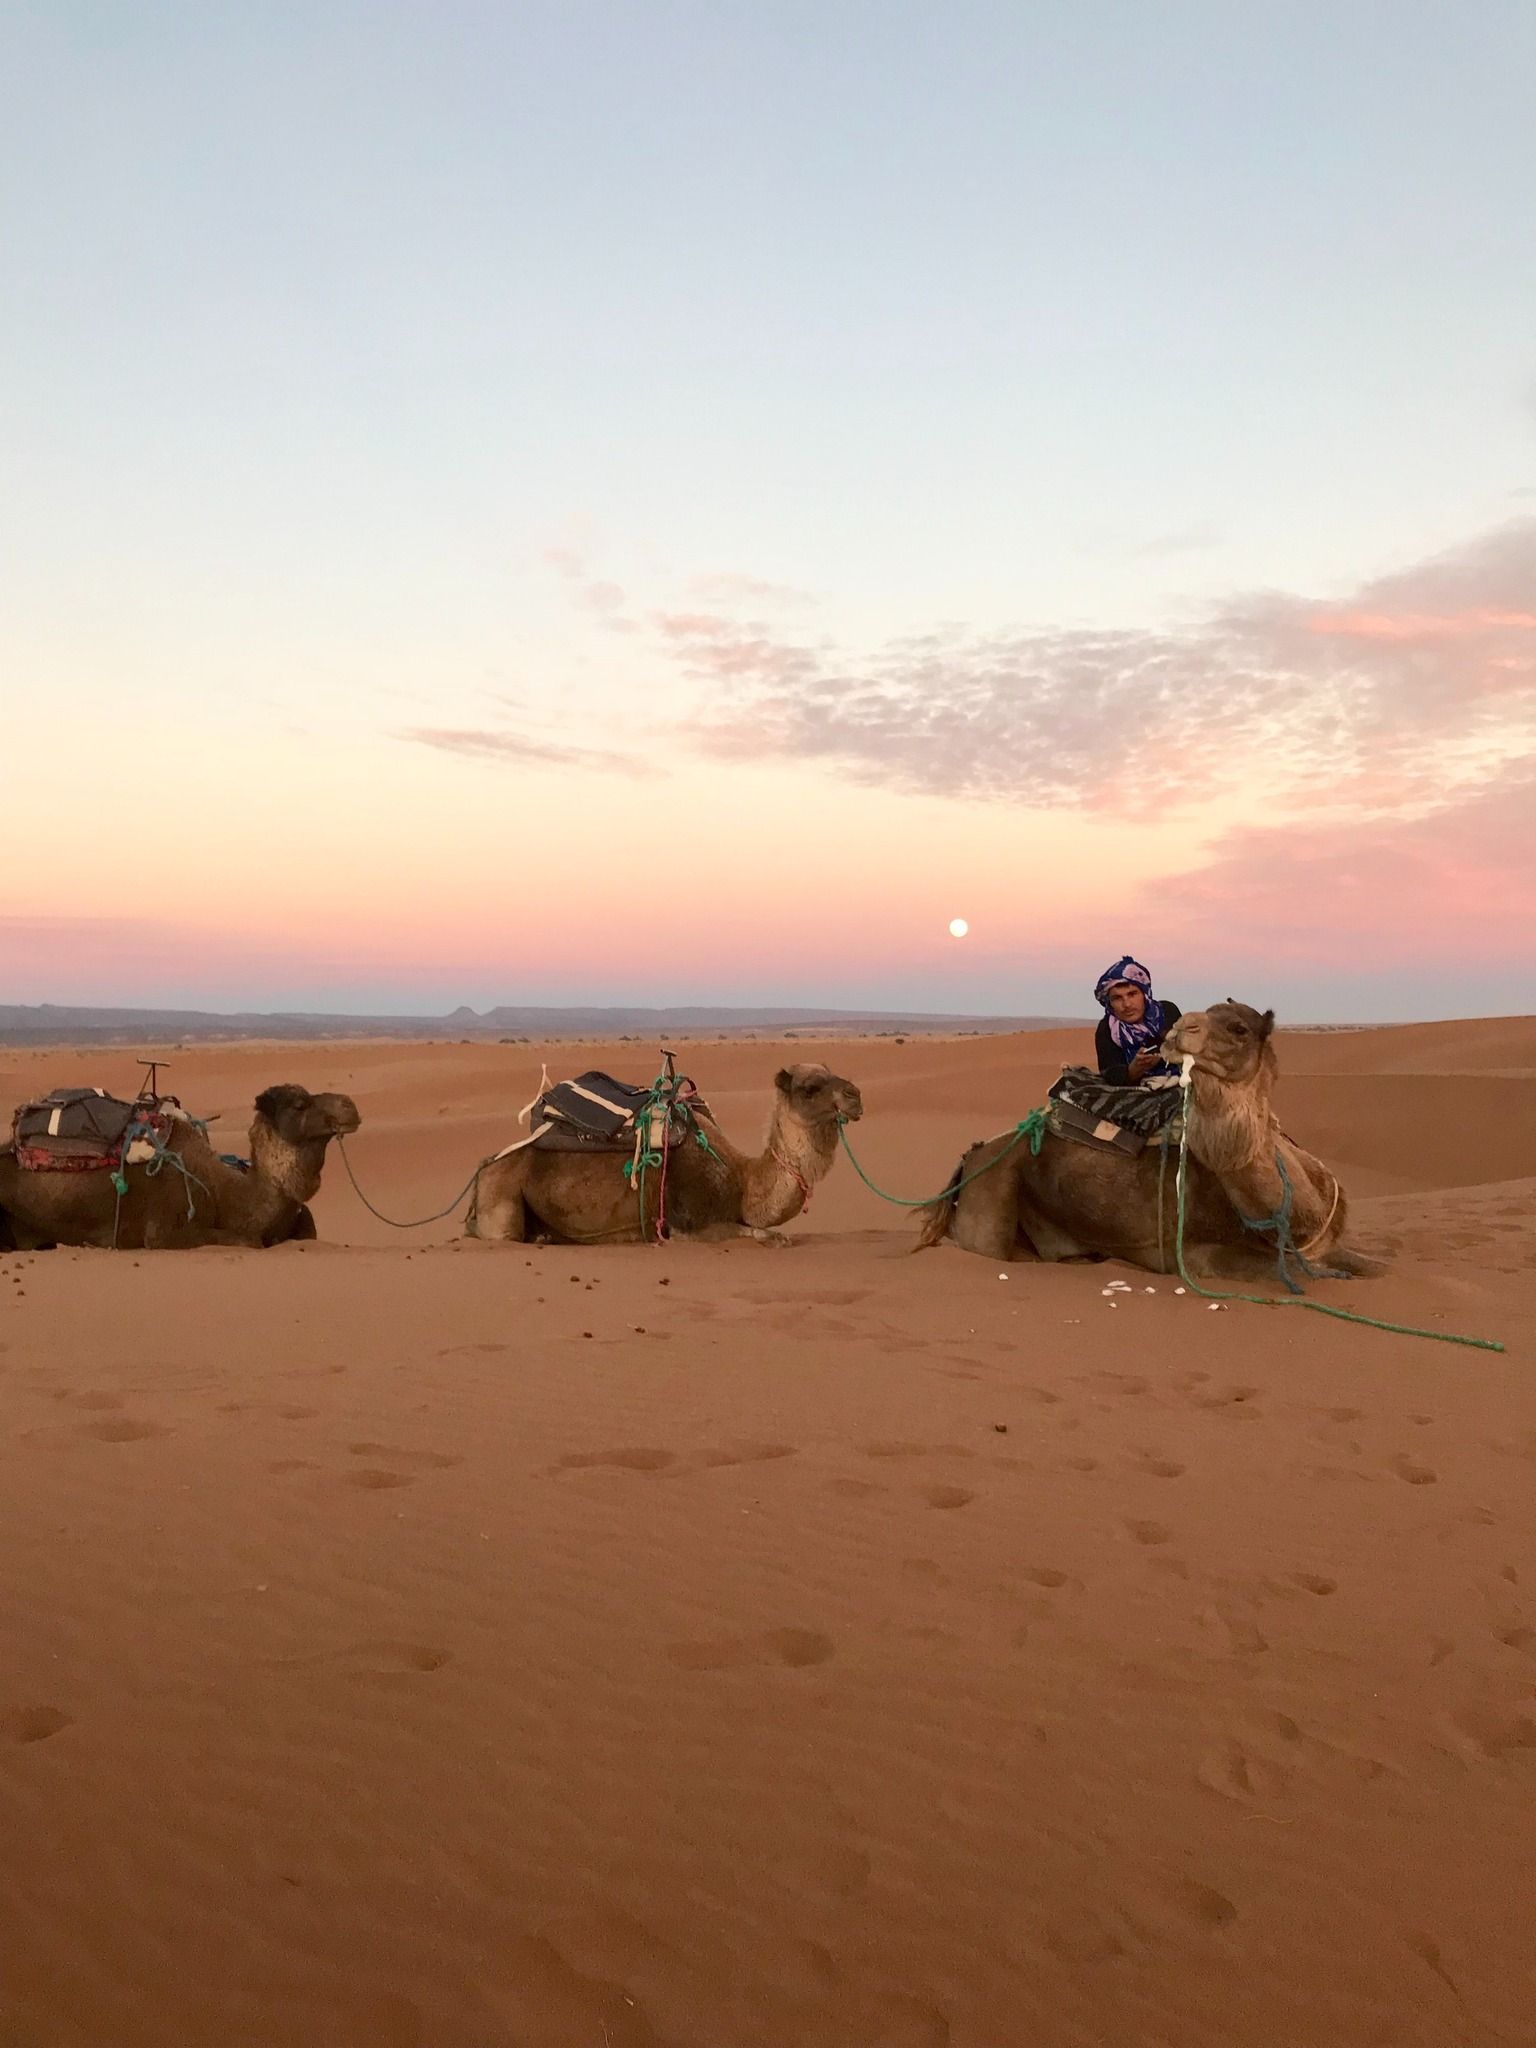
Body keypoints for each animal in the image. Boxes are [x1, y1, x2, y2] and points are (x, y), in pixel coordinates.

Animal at [468, 1063, 863, 1244]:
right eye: (810, 1088)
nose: (855, 1095)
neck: (741, 1180)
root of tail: (484, 1166)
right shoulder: (685, 1226)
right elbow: (767, 1236)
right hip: (501, 1196)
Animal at [915, 1002, 1371, 1278]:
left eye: (1239, 1026)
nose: (1179, 1027)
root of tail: (971, 1154)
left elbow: (1372, 1266)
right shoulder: (1197, 1254)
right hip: (990, 1197)